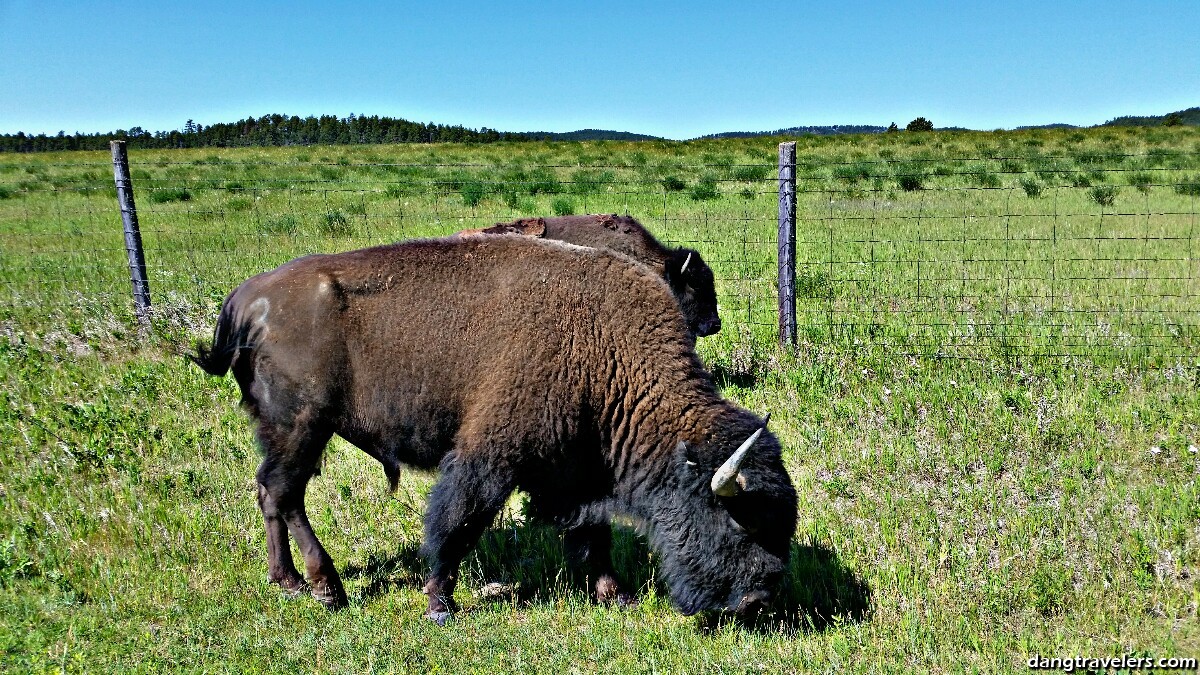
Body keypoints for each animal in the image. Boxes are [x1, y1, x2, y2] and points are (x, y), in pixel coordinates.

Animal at [194, 235, 796, 619]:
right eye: (740, 522)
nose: (759, 601)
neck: (608, 350)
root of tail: (246, 299)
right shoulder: (490, 455)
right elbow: (458, 521)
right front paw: (440, 604)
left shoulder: (578, 471)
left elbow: (592, 533)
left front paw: (614, 594)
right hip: (301, 426)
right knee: (283, 492)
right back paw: (324, 587)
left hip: (292, 431)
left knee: (273, 493)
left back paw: (293, 583)